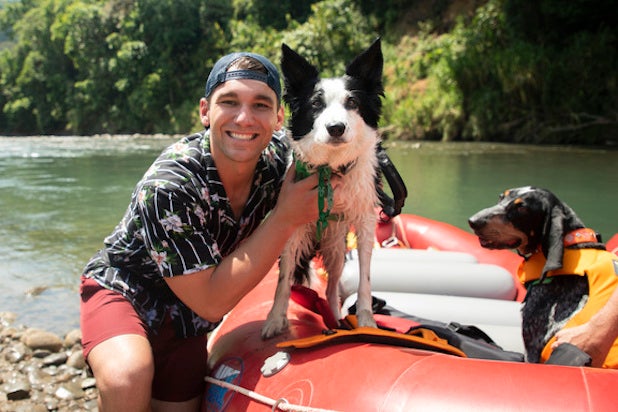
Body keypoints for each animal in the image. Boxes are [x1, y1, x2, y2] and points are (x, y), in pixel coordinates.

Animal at [261, 39, 383, 339]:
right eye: (316, 103)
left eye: (352, 102)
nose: (336, 128)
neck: (331, 167)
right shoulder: (290, 225)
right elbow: (283, 280)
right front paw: (275, 319)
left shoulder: (365, 220)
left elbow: (365, 278)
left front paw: (366, 320)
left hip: (337, 249)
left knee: (331, 289)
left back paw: (337, 320)